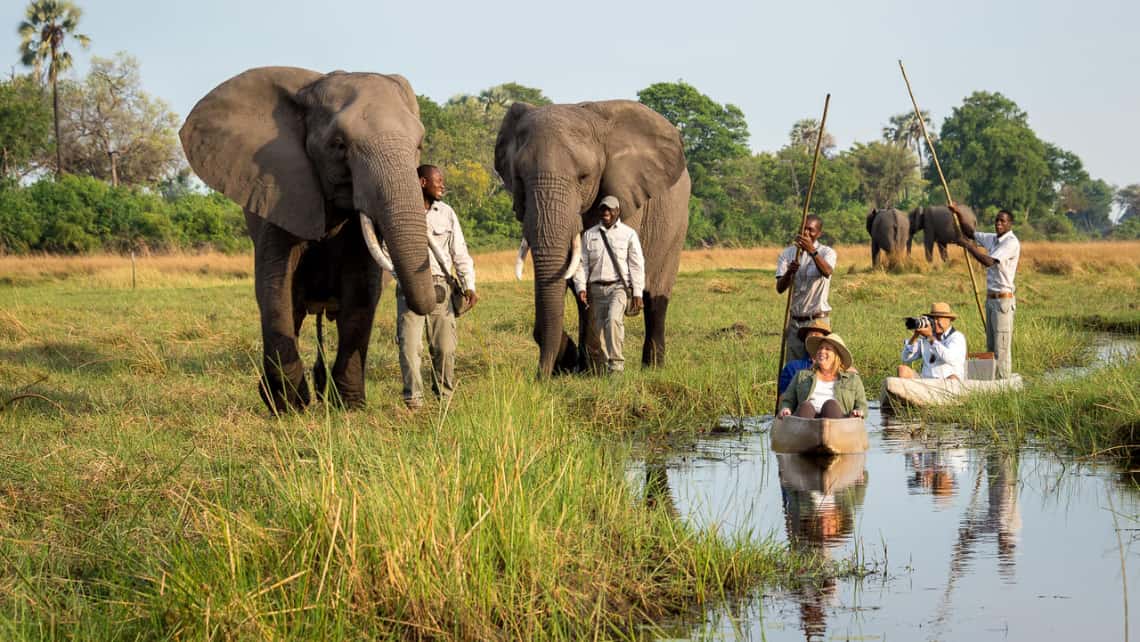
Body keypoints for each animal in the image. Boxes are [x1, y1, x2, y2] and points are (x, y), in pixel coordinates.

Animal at [180, 68, 433, 412]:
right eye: (339, 145)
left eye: (419, 144)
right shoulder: (280, 192)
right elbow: (276, 285)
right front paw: (289, 406)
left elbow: (362, 288)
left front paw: (350, 407)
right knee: (295, 309)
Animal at [494, 99, 688, 376]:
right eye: (518, 178)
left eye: (583, 177)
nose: (540, 377)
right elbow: (573, 276)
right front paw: (574, 363)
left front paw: (592, 368)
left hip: (677, 223)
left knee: (656, 297)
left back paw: (652, 367)